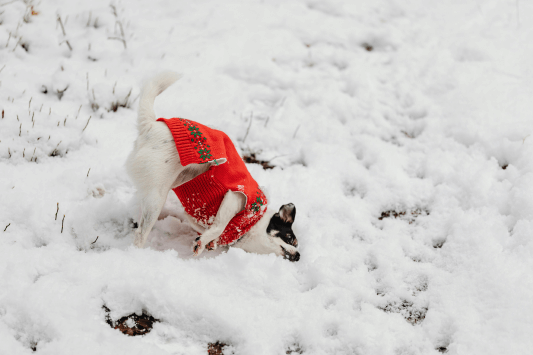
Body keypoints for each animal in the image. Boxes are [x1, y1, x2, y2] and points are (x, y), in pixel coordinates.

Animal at [125, 72, 300, 262]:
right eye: (290, 238)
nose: (299, 255)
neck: (252, 223)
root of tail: (151, 125)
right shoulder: (236, 197)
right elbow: (219, 226)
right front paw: (203, 242)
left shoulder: (196, 216)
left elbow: (211, 229)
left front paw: (210, 242)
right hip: (157, 196)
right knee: (141, 233)